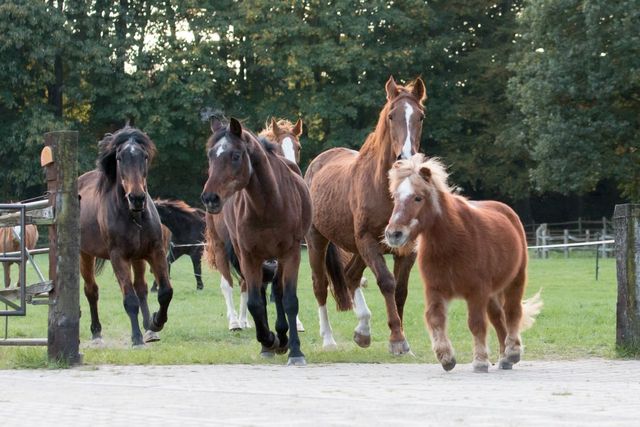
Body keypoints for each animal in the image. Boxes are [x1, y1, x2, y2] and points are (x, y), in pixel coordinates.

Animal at [78, 126, 173, 346]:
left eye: (144, 156)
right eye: (120, 158)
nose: (137, 198)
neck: (134, 215)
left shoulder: (155, 251)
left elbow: (165, 292)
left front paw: (155, 323)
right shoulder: (118, 257)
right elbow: (129, 299)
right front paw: (136, 337)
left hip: (138, 258)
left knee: (141, 288)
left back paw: (149, 329)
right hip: (85, 255)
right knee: (91, 291)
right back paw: (97, 333)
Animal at [201, 116, 312, 365]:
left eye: (235, 155)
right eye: (211, 154)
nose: (210, 198)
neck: (269, 204)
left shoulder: (291, 253)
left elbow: (288, 299)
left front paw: (294, 349)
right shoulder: (249, 255)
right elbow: (255, 302)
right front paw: (269, 340)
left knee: (276, 292)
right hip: (228, 249)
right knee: (240, 288)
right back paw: (244, 327)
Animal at [304, 76, 426, 354]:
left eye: (420, 116)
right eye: (391, 116)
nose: (405, 158)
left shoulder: (407, 249)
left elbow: (400, 290)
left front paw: (402, 341)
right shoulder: (368, 241)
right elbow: (387, 282)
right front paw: (397, 339)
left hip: (358, 248)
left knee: (351, 276)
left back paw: (363, 331)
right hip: (318, 240)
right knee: (320, 286)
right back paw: (329, 339)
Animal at [384, 154, 543, 372]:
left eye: (418, 197)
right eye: (395, 197)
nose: (393, 234)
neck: (452, 244)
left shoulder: (476, 291)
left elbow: (476, 324)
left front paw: (480, 361)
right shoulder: (435, 290)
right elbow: (435, 319)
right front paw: (446, 357)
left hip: (515, 280)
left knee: (512, 313)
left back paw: (512, 352)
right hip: (492, 293)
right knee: (498, 318)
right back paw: (504, 358)